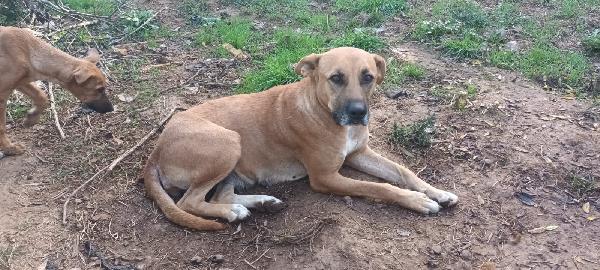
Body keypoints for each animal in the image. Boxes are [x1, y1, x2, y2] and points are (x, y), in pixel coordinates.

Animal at [0, 26, 113, 156]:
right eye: (99, 89)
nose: (111, 109)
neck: (29, 52)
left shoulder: (20, 82)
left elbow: (42, 96)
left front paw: (32, 118)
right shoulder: (3, 93)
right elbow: (1, 127)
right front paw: (9, 148)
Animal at [142, 46, 460, 230]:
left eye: (368, 77)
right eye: (336, 78)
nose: (358, 113)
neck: (324, 111)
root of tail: (156, 150)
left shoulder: (359, 154)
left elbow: (403, 172)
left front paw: (436, 192)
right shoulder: (325, 178)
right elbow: (378, 187)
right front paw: (417, 200)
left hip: (233, 162)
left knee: (222, 194)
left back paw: (259, 203)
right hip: (228, 143)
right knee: (189, 203)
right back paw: (233, 212)